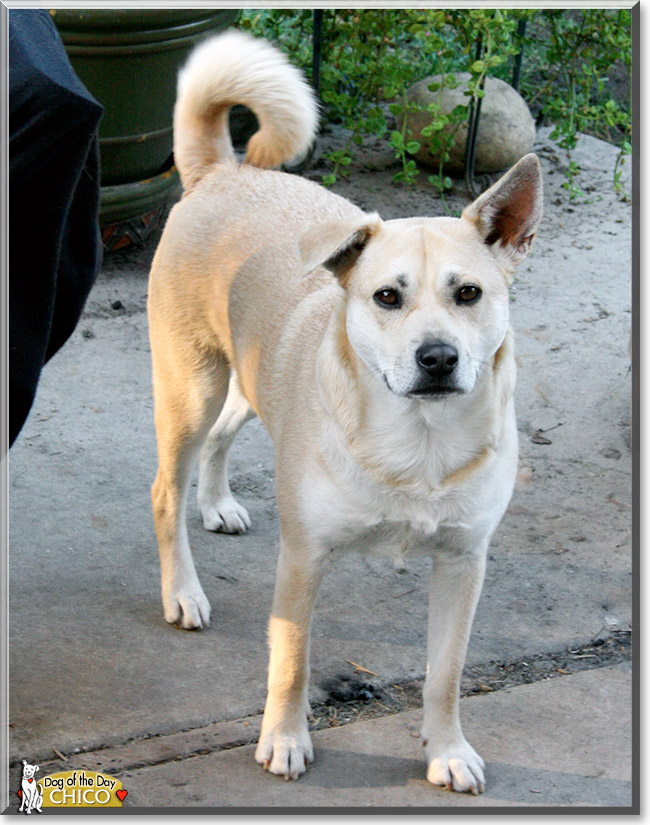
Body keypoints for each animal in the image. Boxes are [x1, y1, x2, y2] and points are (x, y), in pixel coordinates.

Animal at [148, 30, 540, 792]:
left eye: (469, 293)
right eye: (387, 296)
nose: (438, 357)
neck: (419, 441)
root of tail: (221, 173)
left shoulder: (464, 564)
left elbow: (446, 673)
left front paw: (447, 748)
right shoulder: (304, 559)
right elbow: (292, 660)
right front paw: (285, 738)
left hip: (251, 380)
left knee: (222, 436)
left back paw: (216, 501)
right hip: (191, 387)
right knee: (166, 488)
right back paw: (182, 589)